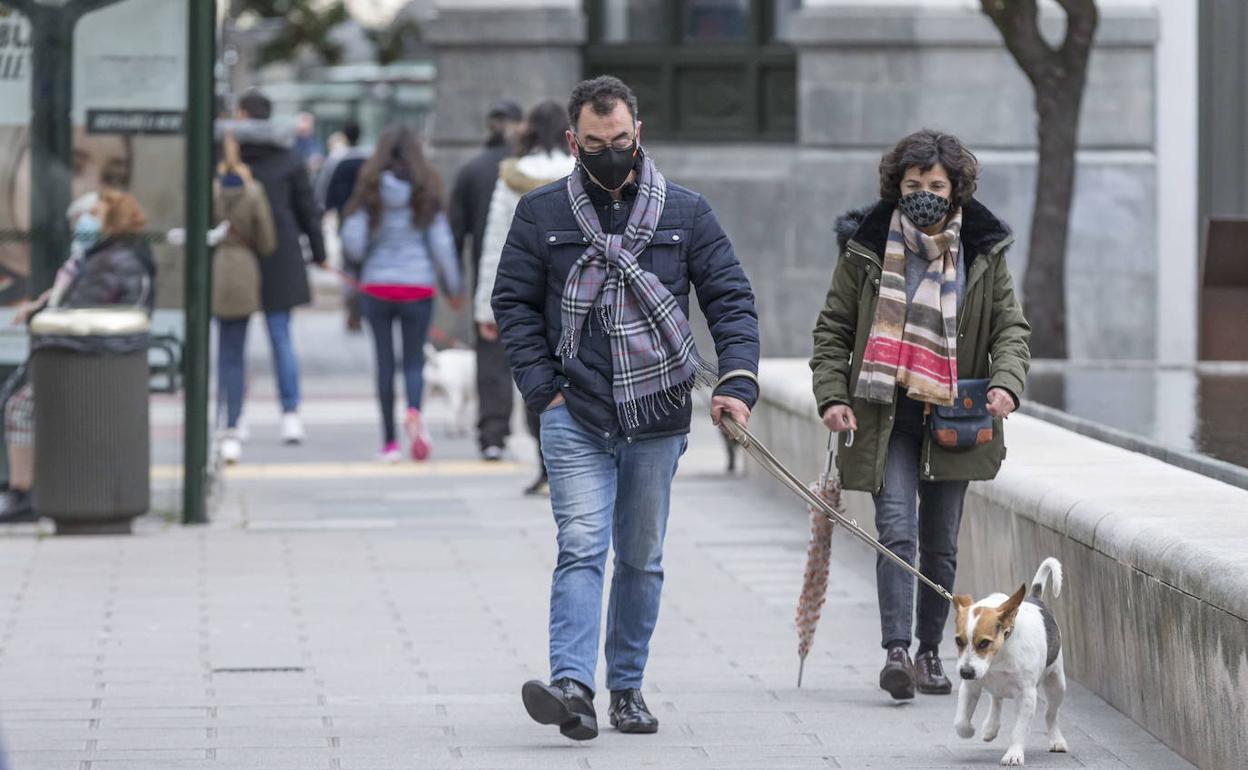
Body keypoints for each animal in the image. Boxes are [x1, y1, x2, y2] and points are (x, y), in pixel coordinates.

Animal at [953, 556, 1063, 763]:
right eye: (958, 641)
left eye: (984, 643)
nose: (965, 672)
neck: (998, 655)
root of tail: (1035, 598)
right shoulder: (970, 686)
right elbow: (960, 722)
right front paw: (968, 729)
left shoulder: (1027, 696)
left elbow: (1019, 730)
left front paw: (1014, 754)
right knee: (996, 699)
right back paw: (990, 727)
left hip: (1057, 684)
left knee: (1050, 714)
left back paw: (1056, 740)